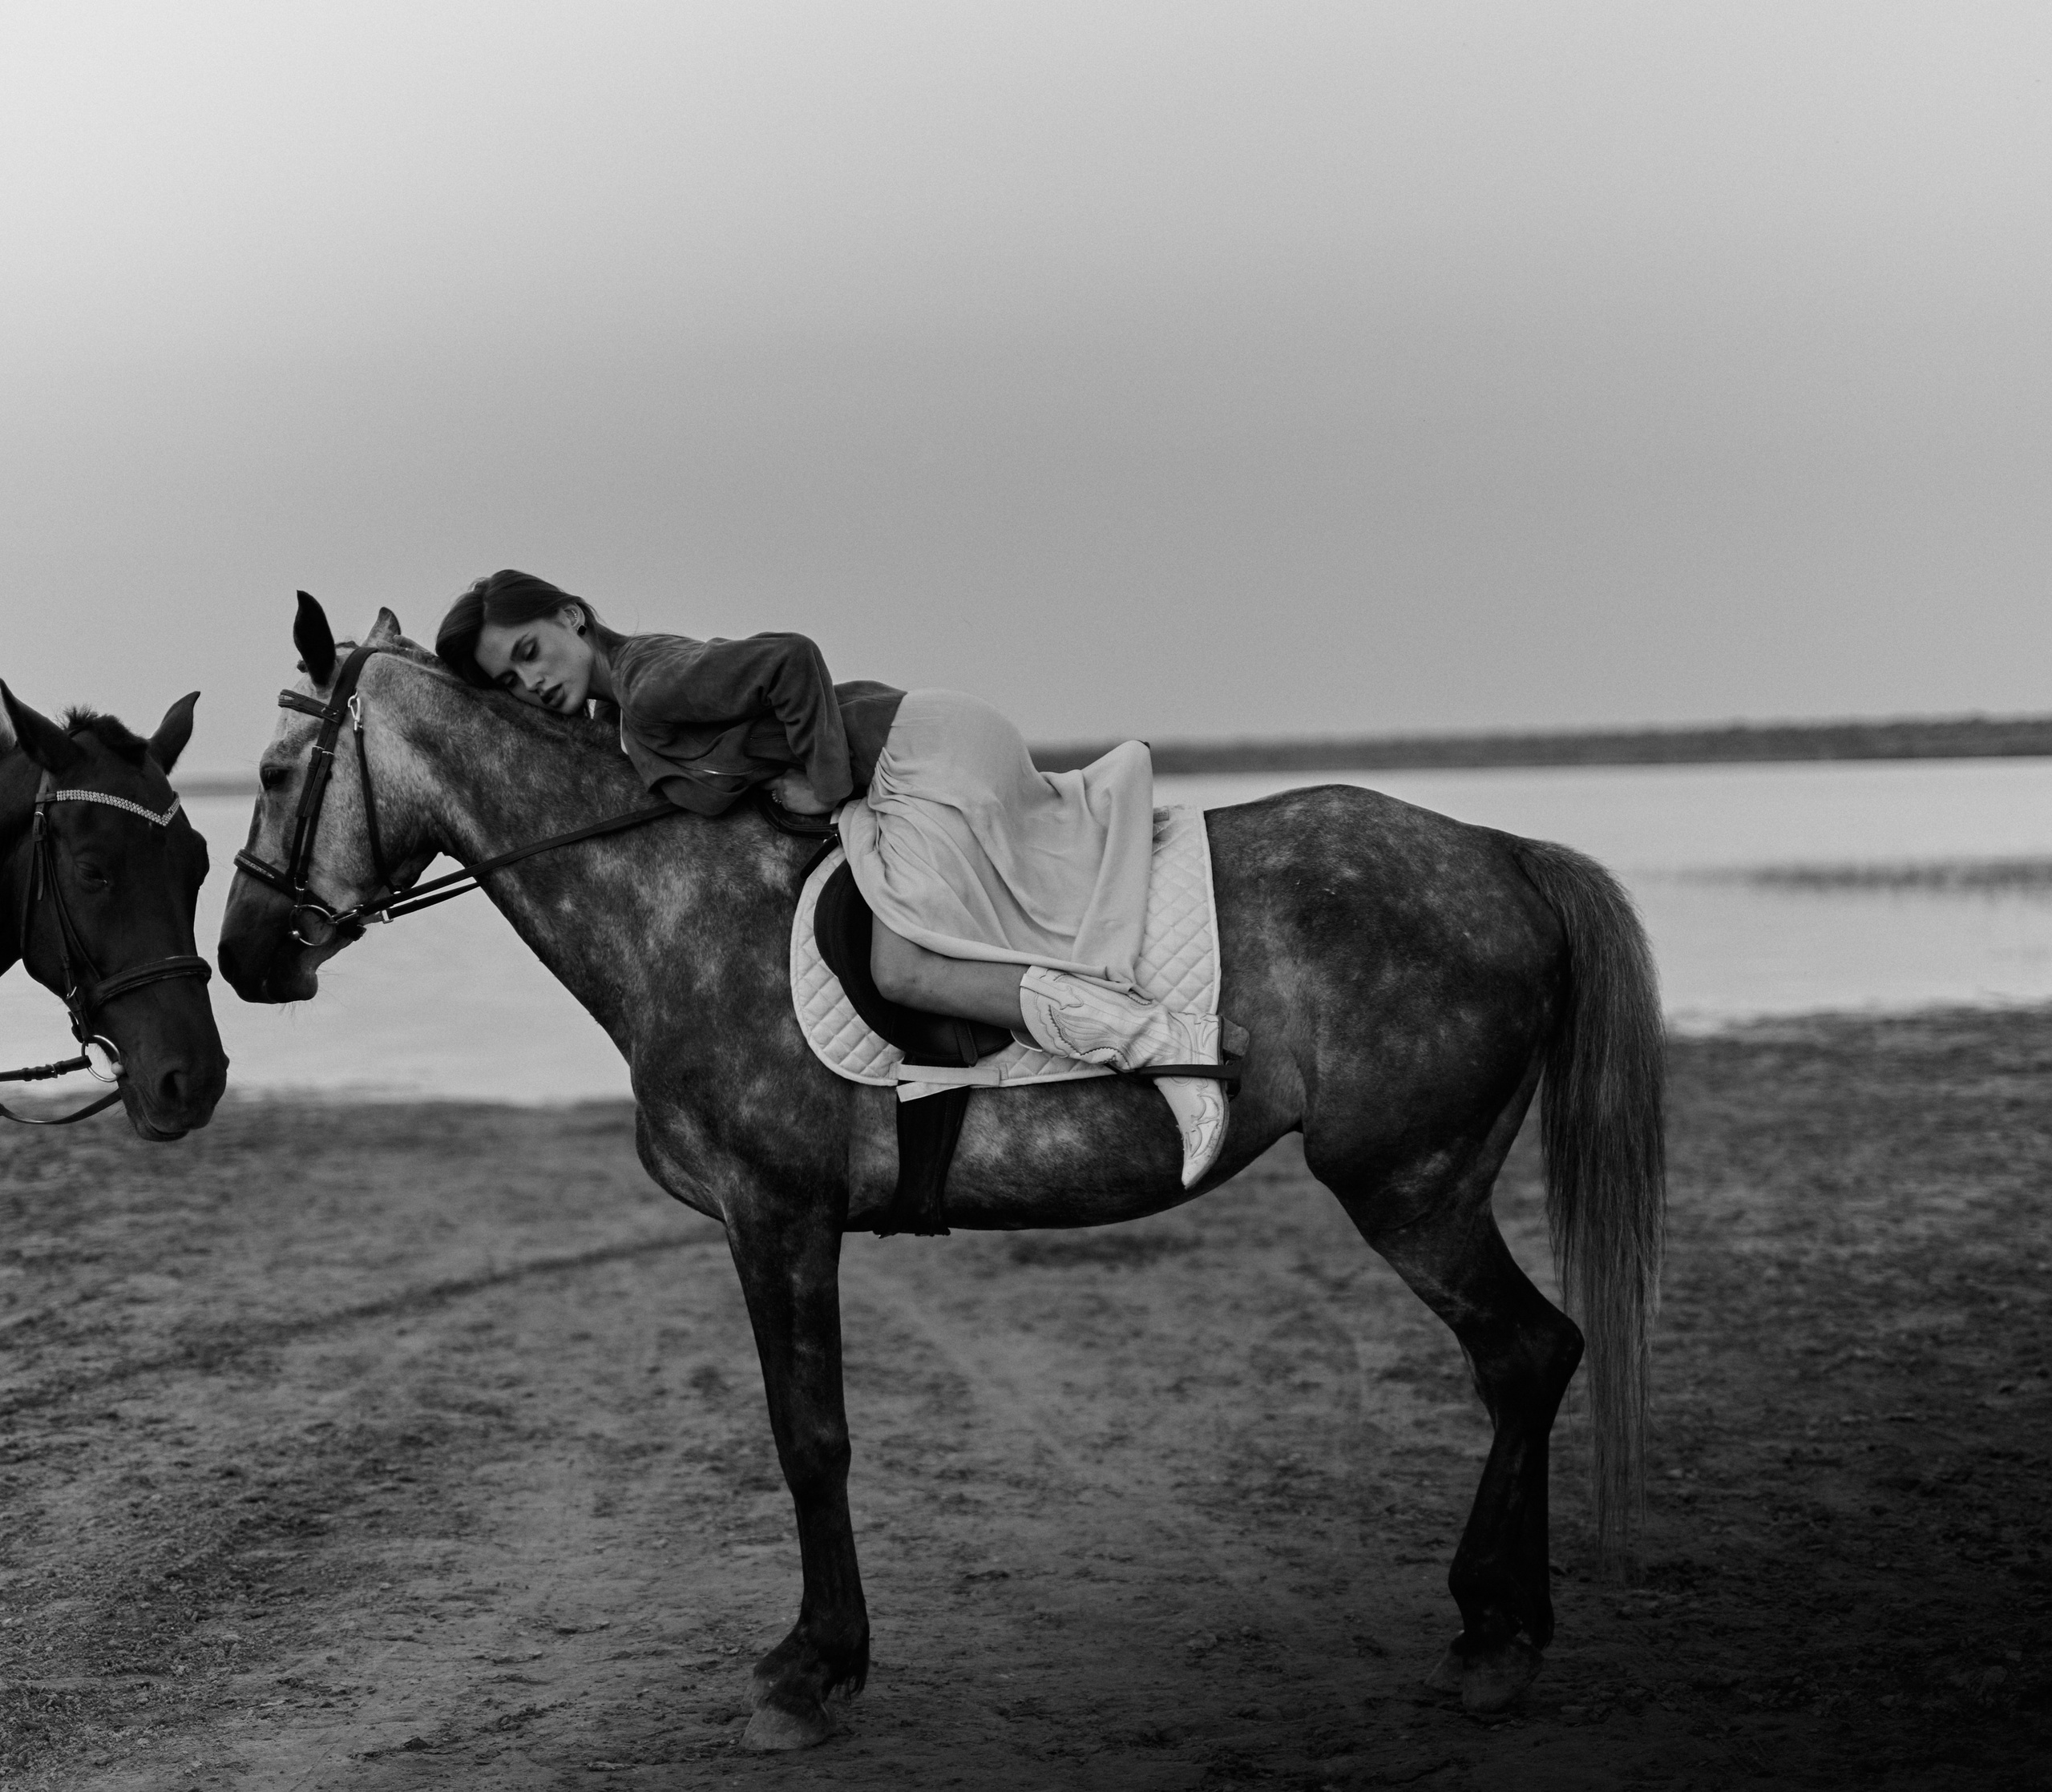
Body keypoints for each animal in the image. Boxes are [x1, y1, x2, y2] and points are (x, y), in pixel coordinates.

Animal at [217, 597, 1663, 1749]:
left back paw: (1498, 1637)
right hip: (1432, 1184)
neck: (671, 895)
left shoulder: (775, 1217)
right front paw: (822, 1658)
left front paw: (811, 1672)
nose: (245, 958)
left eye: (279, 769)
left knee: (1527, 1352)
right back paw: (1499, 1622)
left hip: (1411, 1185)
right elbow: (811, 1436)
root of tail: (1503, 852)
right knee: (1528, 1358)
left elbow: (810, 1438)